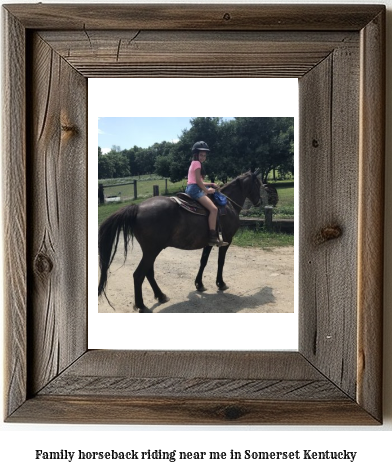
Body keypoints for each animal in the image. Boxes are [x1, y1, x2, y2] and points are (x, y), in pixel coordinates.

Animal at [99, 169, 262, 312]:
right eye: (258, 184)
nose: (259, 202)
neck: (227, 205)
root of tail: (137, 208)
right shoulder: (227, 239)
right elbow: (220, 262)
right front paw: (220, 283)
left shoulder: (209, 242)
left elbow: (203, 261)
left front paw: (199, 284)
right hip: (152, 251)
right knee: (138, 275)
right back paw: (141, 305)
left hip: (150, 251)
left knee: (148, 273)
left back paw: (160, 296)